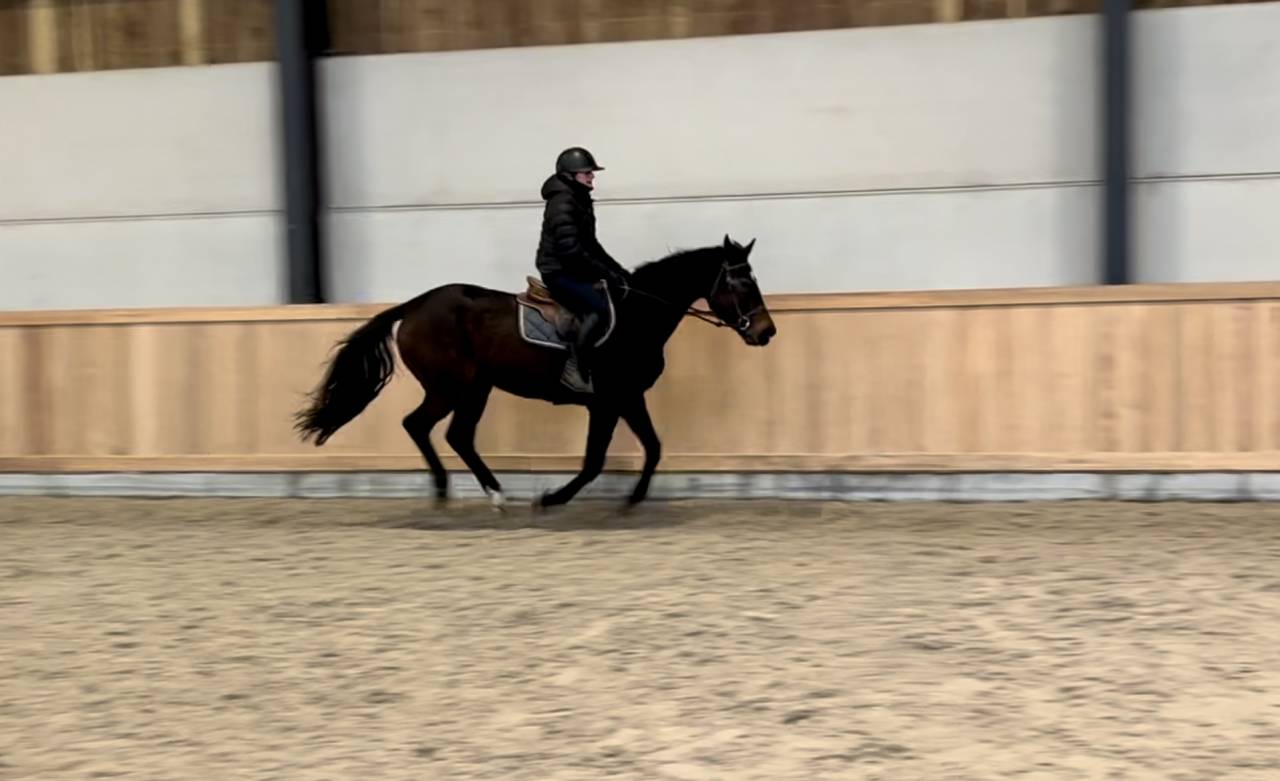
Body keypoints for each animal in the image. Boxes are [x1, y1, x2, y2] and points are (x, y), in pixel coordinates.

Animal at [292, 234, 777, 510]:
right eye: (741, 283)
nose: (767, 332)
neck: (637, 317)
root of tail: (413, 306)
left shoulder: (628, 398)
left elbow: (654, 448)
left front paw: (634, 498)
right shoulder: (608, 401)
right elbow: (594, 461)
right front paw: (553, 498)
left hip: (476, 388)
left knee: (455, 435)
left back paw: (487, 492)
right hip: (452, 386)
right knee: (419, 425)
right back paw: (454, 491)